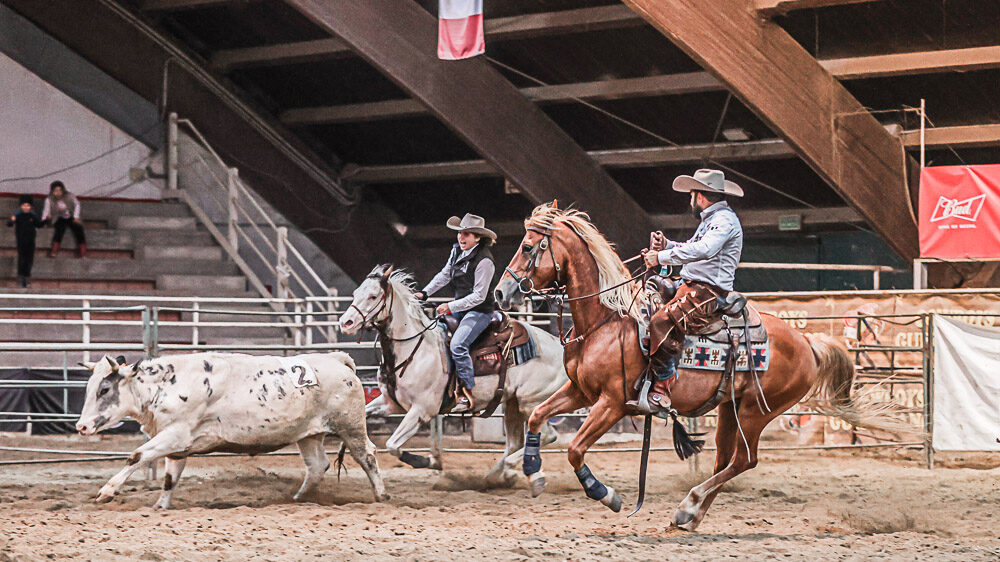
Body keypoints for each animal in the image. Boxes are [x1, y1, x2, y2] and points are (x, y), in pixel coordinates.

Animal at [338, 264, 568, 484]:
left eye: (373, 296)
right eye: (356, 293)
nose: (345, 323)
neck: (414, 349)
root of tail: (560, 348)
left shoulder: (422, 410)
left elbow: (392, 444)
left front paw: (427, 461)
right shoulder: (389, 403)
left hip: (530, 402)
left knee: (547, 436)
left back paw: (511, 470)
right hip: (512, 403)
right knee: (514, 443)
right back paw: (494, 477)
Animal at [494, 202, 908, 528]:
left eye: (527, 246)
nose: (501, 292)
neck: (606, 321)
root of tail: (807, 342)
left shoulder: (611, 403)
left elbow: (576, 449)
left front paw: (605, 493)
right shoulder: (580, 390)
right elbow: (537, 417)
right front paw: (532, 471)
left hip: (757, 411)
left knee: (745, 460)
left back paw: (688, 505)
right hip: (730, 409)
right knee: (726, 459)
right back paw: (689, 516)